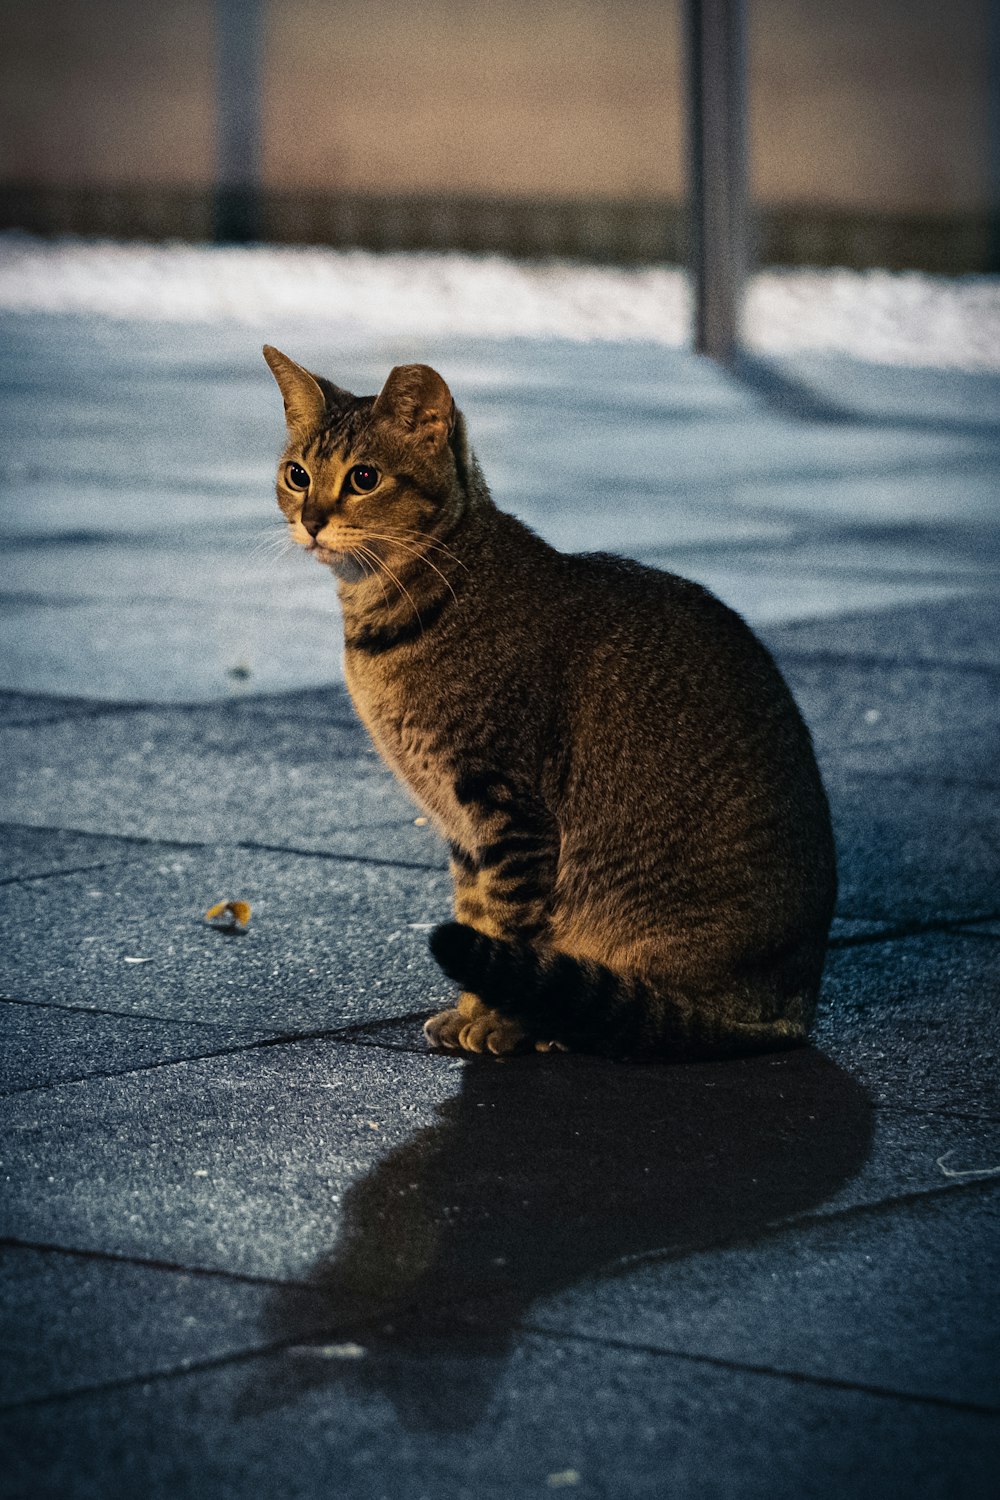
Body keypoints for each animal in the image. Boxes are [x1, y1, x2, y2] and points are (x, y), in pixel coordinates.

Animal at [263, 345, 839, 1062]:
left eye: (363, 477)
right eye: (297, 474)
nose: (310, 520)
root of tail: (795, 1010)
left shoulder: (508, 804)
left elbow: (509, 928)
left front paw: (499, 1022)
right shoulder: (464, 827)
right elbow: (478, 920)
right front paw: (471, 1011)